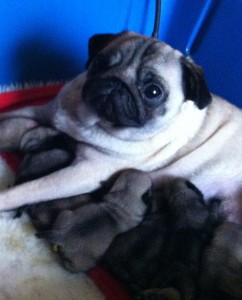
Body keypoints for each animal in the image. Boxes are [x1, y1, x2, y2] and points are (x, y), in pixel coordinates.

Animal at [0, 31, 242, 223]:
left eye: (153, 91)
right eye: (100, 64)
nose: (117, 83)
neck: (90, 121)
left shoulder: (83, 173)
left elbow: (26, 190)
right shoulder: (43, 112)